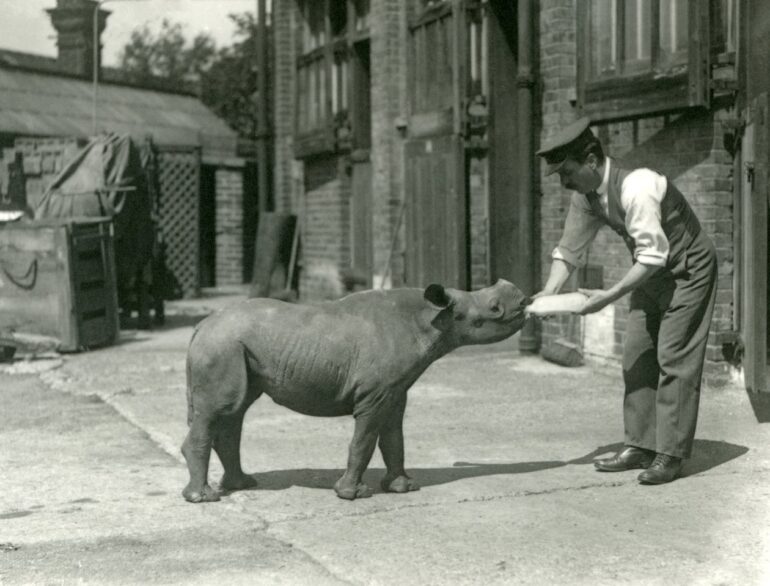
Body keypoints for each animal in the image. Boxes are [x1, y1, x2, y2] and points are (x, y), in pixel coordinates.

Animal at [181, 280, 529, 503]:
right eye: (495, 309)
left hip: (234, 348)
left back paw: (241, 484)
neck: (432, 318)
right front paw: (352, 494)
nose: (524, 299)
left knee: (234, 411)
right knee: (218, 410)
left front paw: (403, 488)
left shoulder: (394, 392)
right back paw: (204, 498)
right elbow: (363, 441)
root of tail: (200, 327)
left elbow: (394, 439)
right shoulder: (374, 396)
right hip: (222, 347)